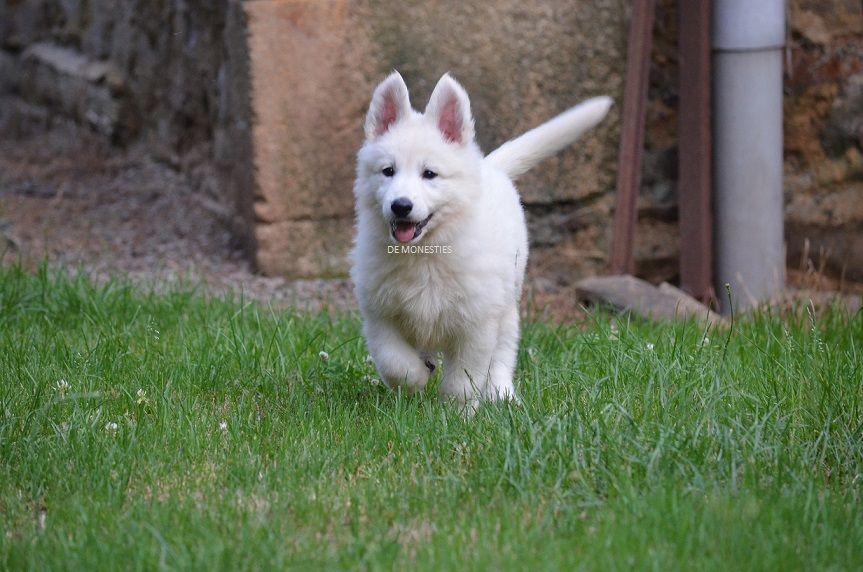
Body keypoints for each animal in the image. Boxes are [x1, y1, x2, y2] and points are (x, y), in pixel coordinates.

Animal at [352, 72, 616, 406]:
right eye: (388, 171)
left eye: (429, 174)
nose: (400, 206)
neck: (425, 253)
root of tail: (489, 166)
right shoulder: (380, 314)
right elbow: (395, 363)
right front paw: (416, 380)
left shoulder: (477, 322)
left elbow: (464, 379)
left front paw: (457, 412)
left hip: (508, 301)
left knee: (504, 351)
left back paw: (502, 394)